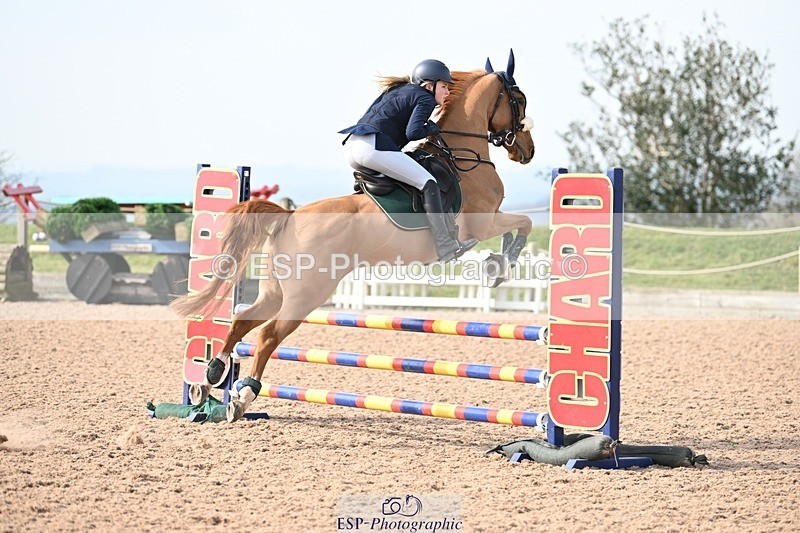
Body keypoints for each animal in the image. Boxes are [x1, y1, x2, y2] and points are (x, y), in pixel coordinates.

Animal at [172, 51, 536, 422]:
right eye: (519, 100)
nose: (527, 149)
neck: (463, 156)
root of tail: (290, 217)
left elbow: (519, 226)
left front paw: (496, 264)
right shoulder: (484, 224)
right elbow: (522, 224)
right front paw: (500, 265)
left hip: (277, 290)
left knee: (243, 320)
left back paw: (208, 379)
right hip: (306, 295)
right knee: (268, 336)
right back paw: (242, 397)